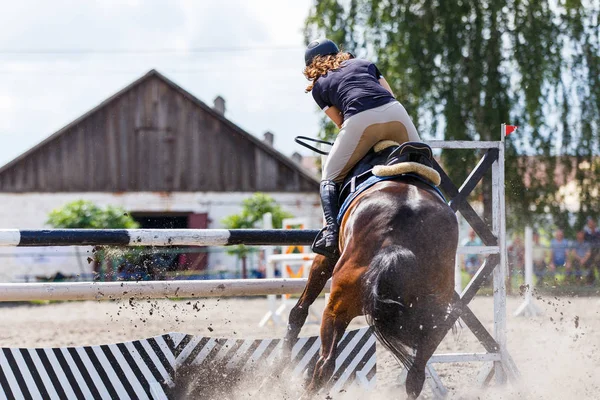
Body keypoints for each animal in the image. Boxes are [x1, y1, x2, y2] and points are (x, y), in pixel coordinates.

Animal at [284, 177, 458, 398]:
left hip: (333, 311)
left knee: (326, 364)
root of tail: (396, 242)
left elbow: (299, 310)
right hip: (435, 316)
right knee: (416, 374)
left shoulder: (325, 257)